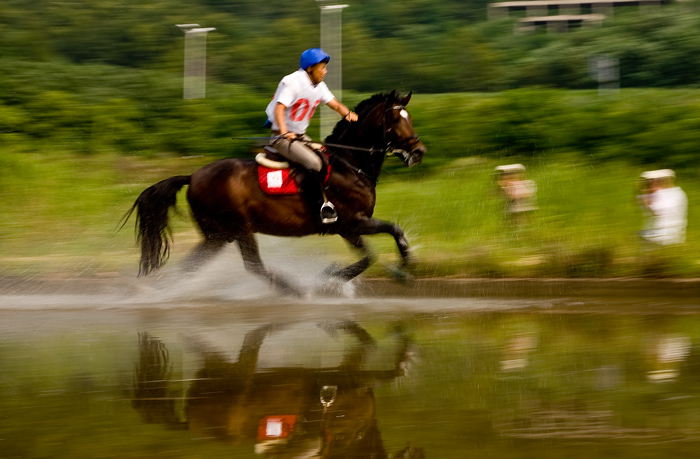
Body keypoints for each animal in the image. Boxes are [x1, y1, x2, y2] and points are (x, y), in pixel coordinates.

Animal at [123, 90, 424, 294]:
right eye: (395, 118)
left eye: (409, 117)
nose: (419, 152)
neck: (351, 164)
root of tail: (193, 176)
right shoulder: (351, 223)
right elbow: (382, 243)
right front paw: (332, 277)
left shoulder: (349, 228)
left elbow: (380, 245)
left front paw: (401, 267)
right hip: (239, 229)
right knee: (253, 265)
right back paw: (296, 290)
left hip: (218, 235)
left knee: (190, 266)